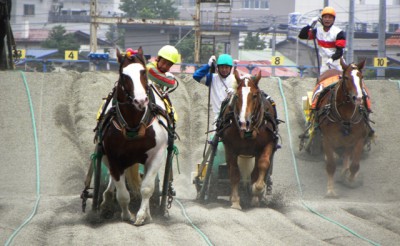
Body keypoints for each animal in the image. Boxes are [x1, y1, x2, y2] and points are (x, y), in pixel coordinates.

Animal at [97, 47, 172, 226]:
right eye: (124, 75)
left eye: (143, 72)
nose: (140, 100)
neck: (134, 124)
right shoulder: (113, 157)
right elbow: (122, 193)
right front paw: (127, 215)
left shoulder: (157, 154)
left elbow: (147, 188)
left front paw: (142, 216)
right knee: (113, 183)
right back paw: (106, 201)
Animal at [219, 69, 278, 209]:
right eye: (237, 96)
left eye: (255, 95)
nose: (243, 122)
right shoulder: (230, 147)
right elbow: (234, 173)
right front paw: (235, 201)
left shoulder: (269, 143)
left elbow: (263, 164)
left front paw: (257, 190)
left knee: (255, 172)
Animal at [316, 58, 372, 198]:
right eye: (346, 77)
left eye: (361, 77)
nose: (358, 98)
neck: (345, 115)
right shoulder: (327, 138)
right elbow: (331, 165)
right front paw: (330, 190)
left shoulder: (359, 138)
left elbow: (355, 165)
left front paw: (349, 179)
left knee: (347, 152)